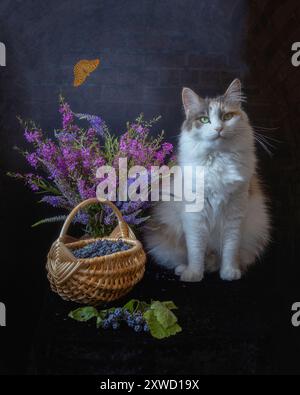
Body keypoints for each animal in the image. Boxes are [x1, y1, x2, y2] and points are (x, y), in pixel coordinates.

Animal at [144, 79, 270, 282]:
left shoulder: (234, 214)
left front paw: (229, 272)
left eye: (227, 116)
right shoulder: (195, 216)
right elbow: (196, 250)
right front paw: (193, 274)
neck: (218, 160)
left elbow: (230, 249)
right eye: (204, 120)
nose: (218, 128)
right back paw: (183, 269)